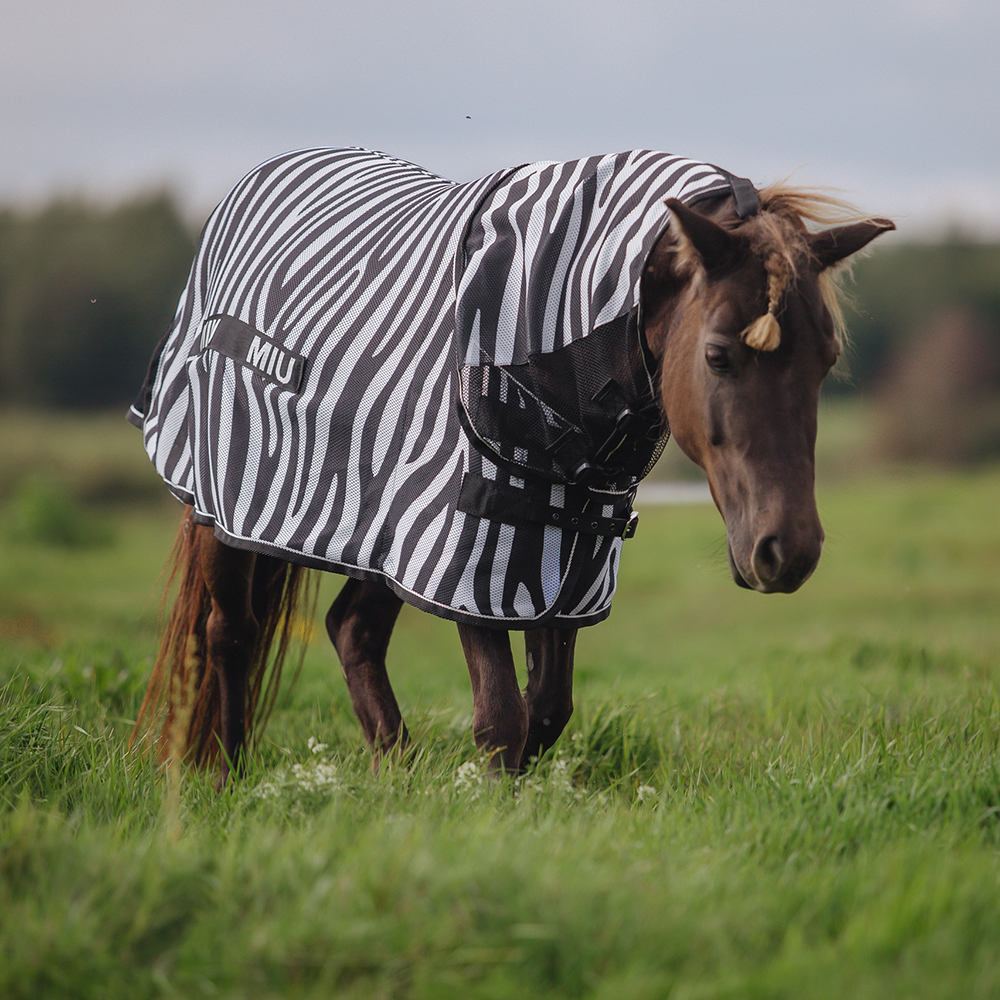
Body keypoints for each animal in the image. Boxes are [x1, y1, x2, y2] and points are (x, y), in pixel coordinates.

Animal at [129, 148, 893, 786]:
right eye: (717, 356)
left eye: (827, 360)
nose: (788, 552)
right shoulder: (467, 547)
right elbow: (502, 716)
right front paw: (493, 817)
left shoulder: (561, 548)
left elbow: (547, 709)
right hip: (226, 505)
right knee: (230, 631)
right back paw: (226, 777)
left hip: (382, 526)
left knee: (351, 630)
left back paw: (395, 776)